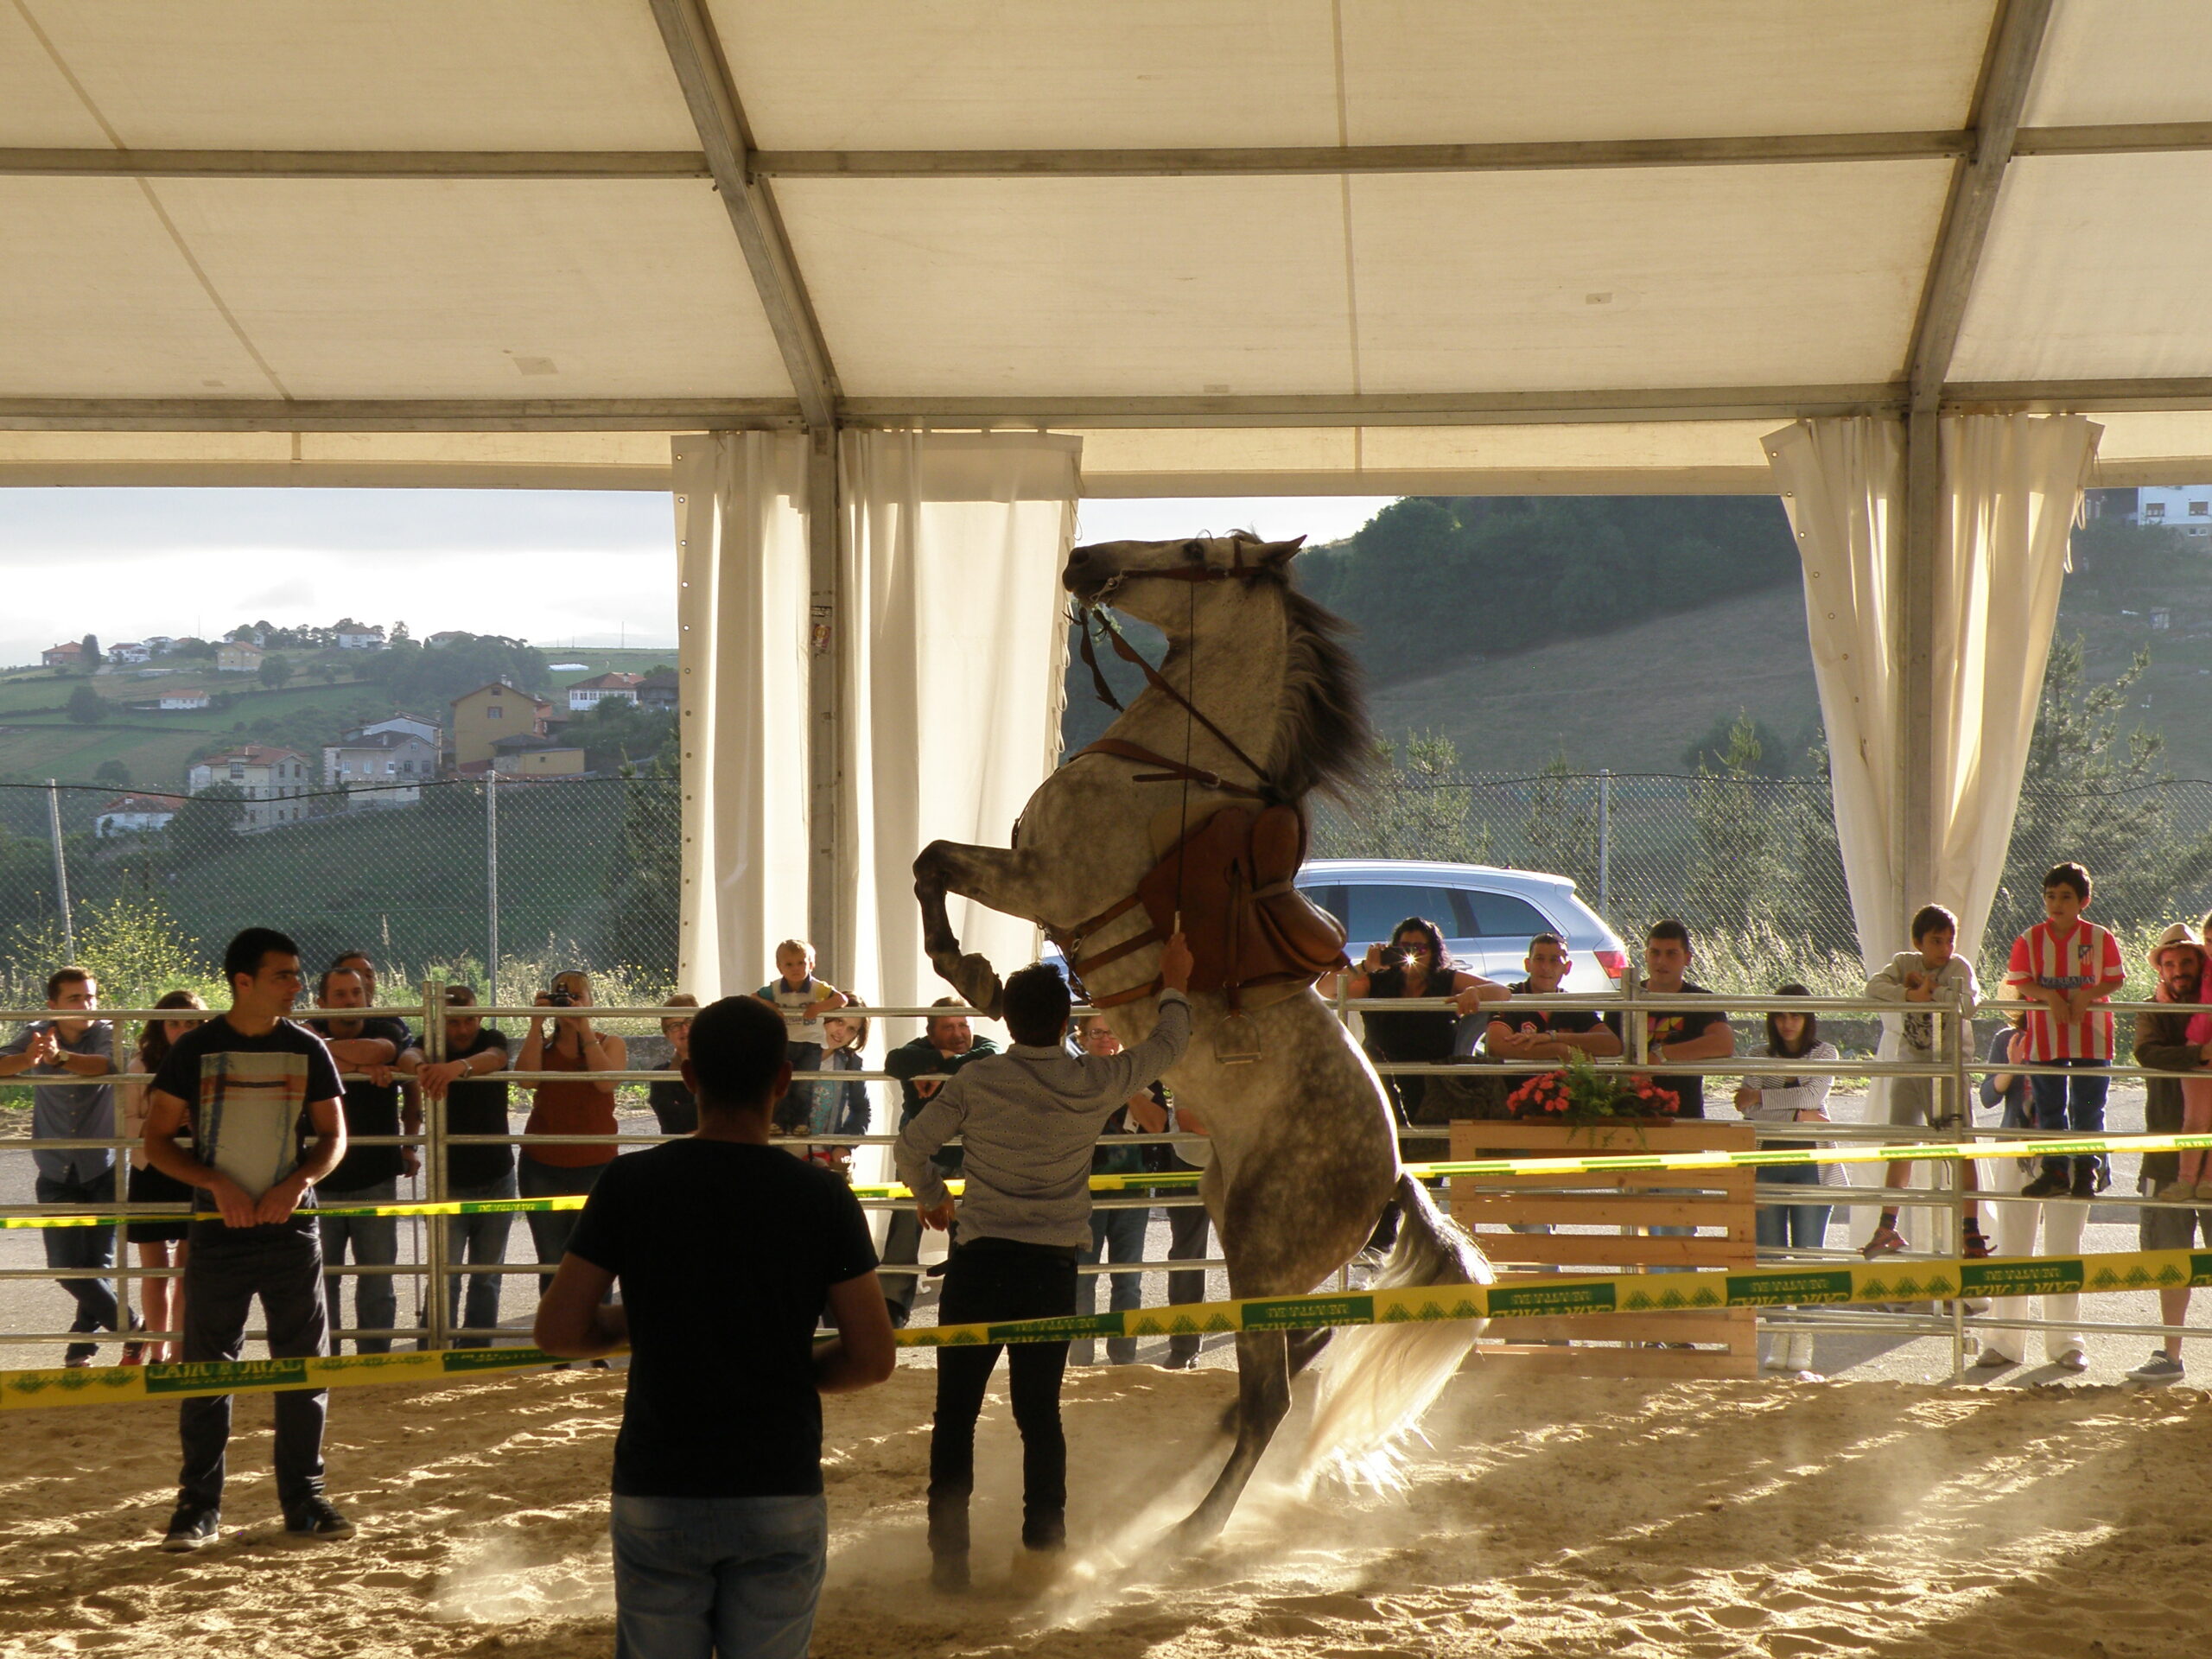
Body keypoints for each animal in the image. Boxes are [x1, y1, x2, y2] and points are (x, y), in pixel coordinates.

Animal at [906, 532, 1495, 1548]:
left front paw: (970, 972)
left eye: (1192, 549)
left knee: (1273, 1395)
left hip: (1259, 1249)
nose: (1084, 558)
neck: (1163, 773)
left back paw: (1193, 1531)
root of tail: (1391, 1173)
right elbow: (928, 862)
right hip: (1258, 1248)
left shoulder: (1037, 877)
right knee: (1300, 1351)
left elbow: (933, 861)